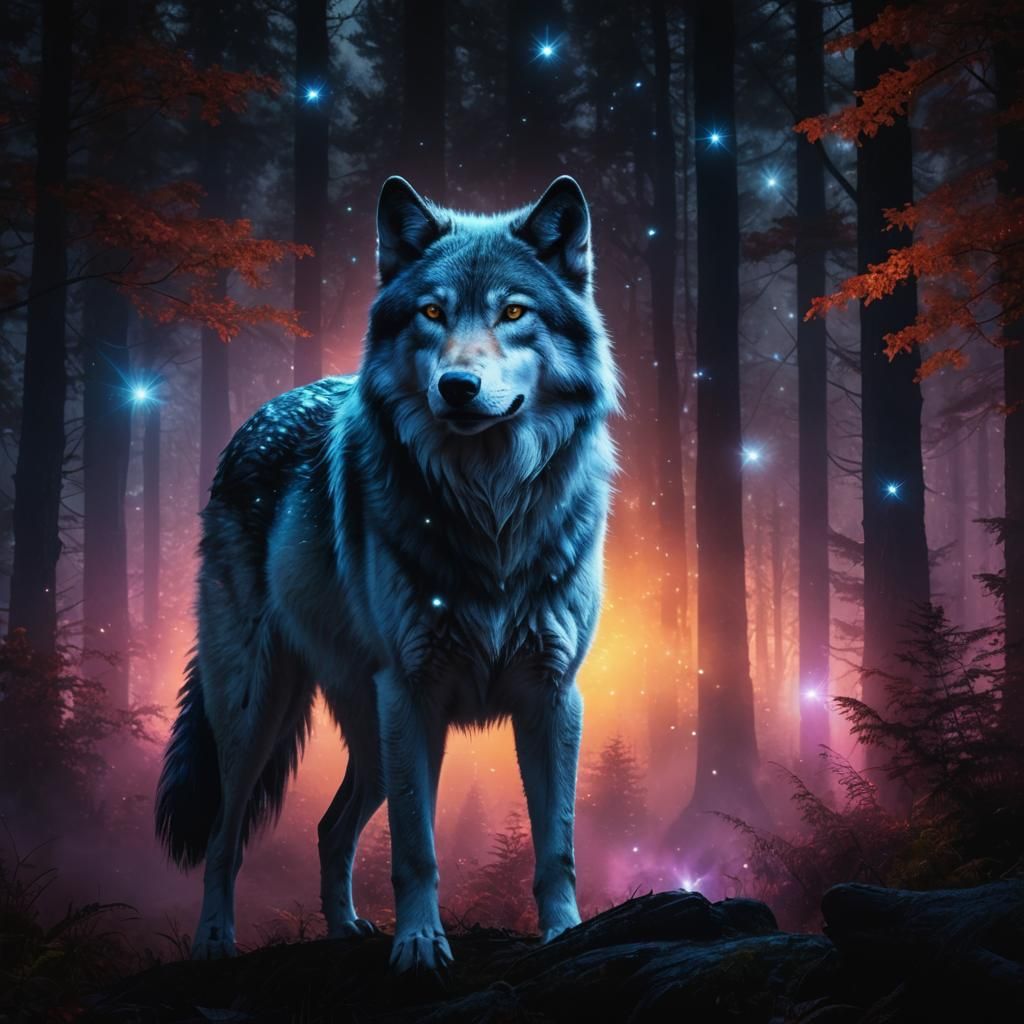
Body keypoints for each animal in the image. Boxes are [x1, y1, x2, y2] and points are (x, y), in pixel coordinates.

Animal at [156, 175, 619, 971]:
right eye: (432, 312)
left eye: (514, 312)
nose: (458, 385)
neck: (490, 509)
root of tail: (260, 412)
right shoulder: (413, 693)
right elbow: (416, 850)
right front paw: (421, 945)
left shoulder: (553, 697)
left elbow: (555, 846)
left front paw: (565, 934)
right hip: (260, 709)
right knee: (224, 836)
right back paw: (214, 939)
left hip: (368, 733)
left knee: (329, 827)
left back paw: (344, 928)